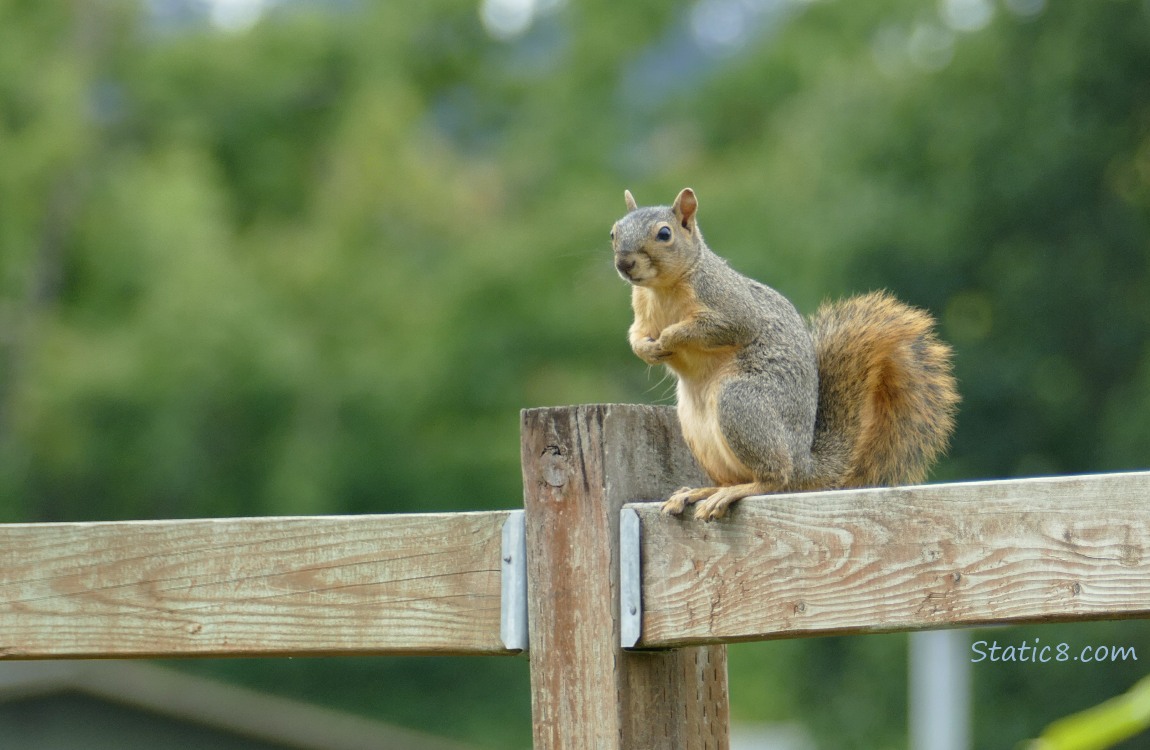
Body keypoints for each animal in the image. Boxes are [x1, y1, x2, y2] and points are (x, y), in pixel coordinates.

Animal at [616, 187, 956, 522]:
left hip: (741, 402)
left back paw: (736, 491)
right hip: (697, 428)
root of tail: (803, 463)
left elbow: (726, 327)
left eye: (664, 234)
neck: (662, 289)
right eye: (614, 232)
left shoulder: (727, 303)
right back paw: (701, 491)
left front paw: (668, 338)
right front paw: (647, 348)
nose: (624, 263)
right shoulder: (641, 315)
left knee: (776, 477)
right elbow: (635, 336)